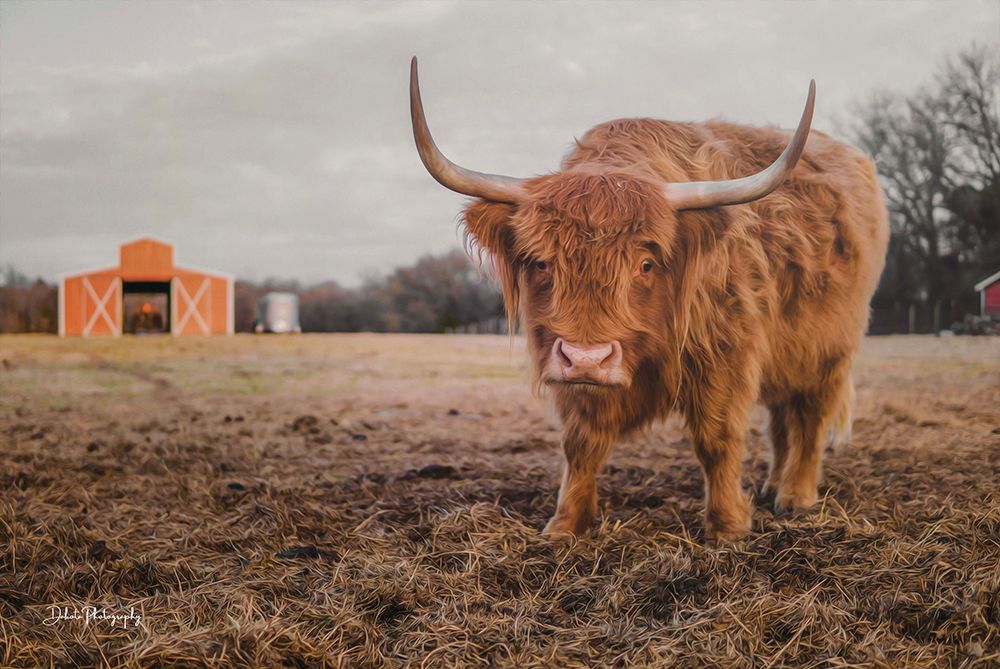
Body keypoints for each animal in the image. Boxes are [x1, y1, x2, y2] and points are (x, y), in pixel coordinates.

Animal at [408, 57, 889, 541]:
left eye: (645, 263)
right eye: (541, 262)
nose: (587, 358)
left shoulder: (726, 355)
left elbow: (717, 438)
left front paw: (728, 527)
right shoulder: (578, 373)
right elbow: (580, 443)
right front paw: (566, 525)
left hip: (829, 352)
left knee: (810, 420)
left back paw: (795, 497)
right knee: (781, 424)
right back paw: (773, 487)